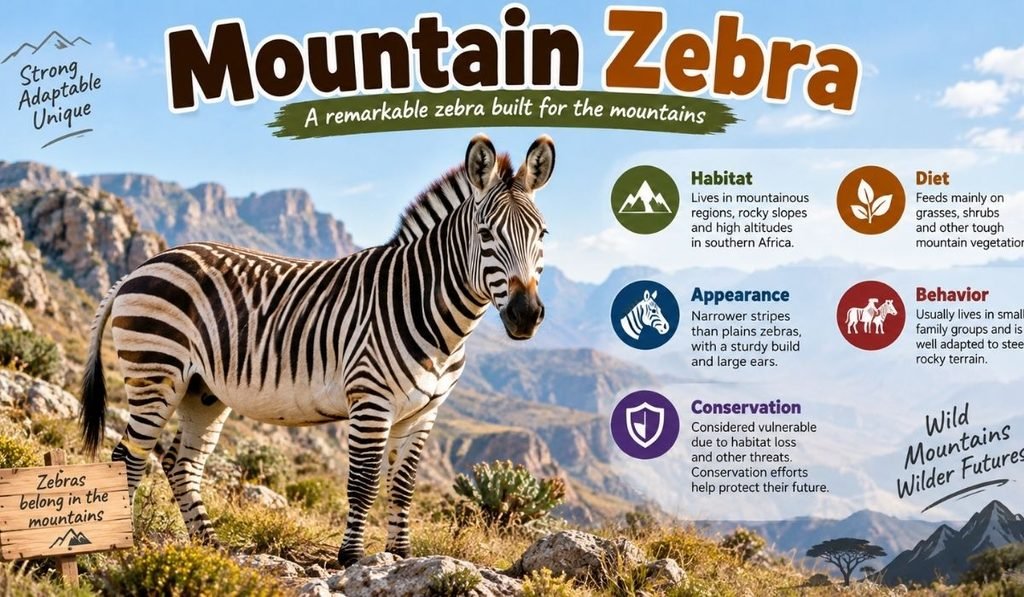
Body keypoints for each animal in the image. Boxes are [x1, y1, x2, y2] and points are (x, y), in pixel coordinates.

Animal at [79, 133, 555, 566]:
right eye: (486, 234)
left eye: (543, 233)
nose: (526, 315)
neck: (425, 306)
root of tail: (143, 266)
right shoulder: (370, 399)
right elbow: (363, 482)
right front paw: (351, 558)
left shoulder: (424, 412)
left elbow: (403, 485)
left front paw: (401, 556)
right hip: (155, 372)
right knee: (128, 458)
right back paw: (118, 551)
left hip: (202, 391)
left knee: (181, 462)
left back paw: (210, 548)